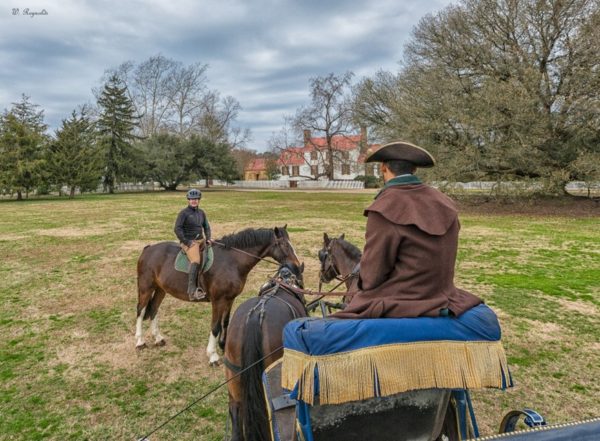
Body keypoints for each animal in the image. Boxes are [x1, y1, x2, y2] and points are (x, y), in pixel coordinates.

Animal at [135, 225, 300, 362]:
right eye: (285, 245)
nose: (297, 266)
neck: (232, 262)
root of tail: (148, 249)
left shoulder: (230, 299)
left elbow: (225, 321)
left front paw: (223, 345)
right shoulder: (218, 300)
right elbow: (215, 326)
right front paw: (212, 355)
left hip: (160, 289)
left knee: (153, 309)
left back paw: (158, 338)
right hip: (146, 288)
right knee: (141, 311)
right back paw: (140, 341)